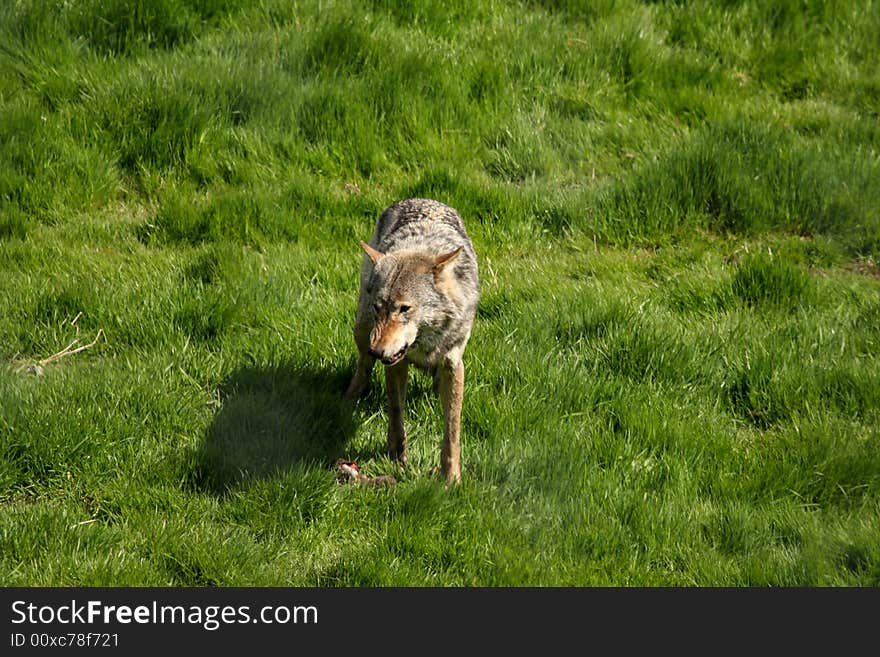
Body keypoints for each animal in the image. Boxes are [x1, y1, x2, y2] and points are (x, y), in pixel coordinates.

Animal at [344, 196, 482, 482]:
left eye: (404, 308)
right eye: (379, 307)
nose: (378, 351)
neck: (424, 345)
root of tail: (419, 199)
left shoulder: (453, 363)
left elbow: (452, 429)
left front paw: (451, 478)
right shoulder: (396, 362)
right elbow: (396, 412)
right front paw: (397, 459)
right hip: (362, 330)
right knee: (362, 367)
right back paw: (348, 399)